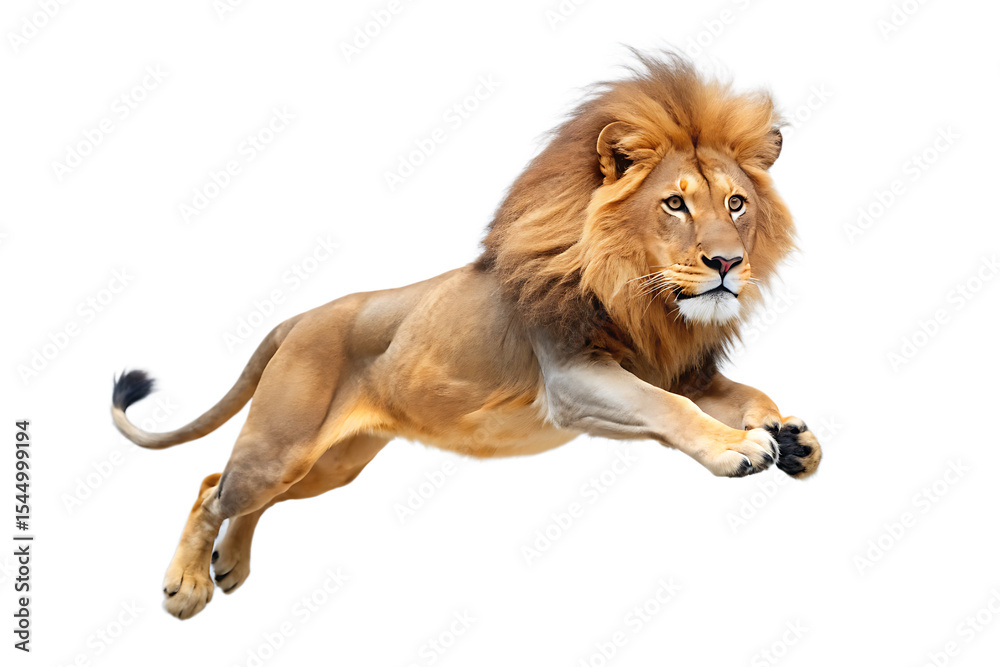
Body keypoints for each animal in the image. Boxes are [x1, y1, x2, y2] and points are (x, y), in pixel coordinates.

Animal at [112, 52, 822, 619]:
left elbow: (743, 394)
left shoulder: (677, 365)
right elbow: (667, 408)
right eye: (675, 203)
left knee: (241, 494)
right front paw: (740, 447)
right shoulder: (572, 377)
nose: (728, 263)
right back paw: (186, 587)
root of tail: (300, 317)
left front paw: (790, 435)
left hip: (332, 464)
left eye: (735, 203)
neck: (646, 298)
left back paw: (229, 562)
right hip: (283, 447)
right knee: (212, 489)